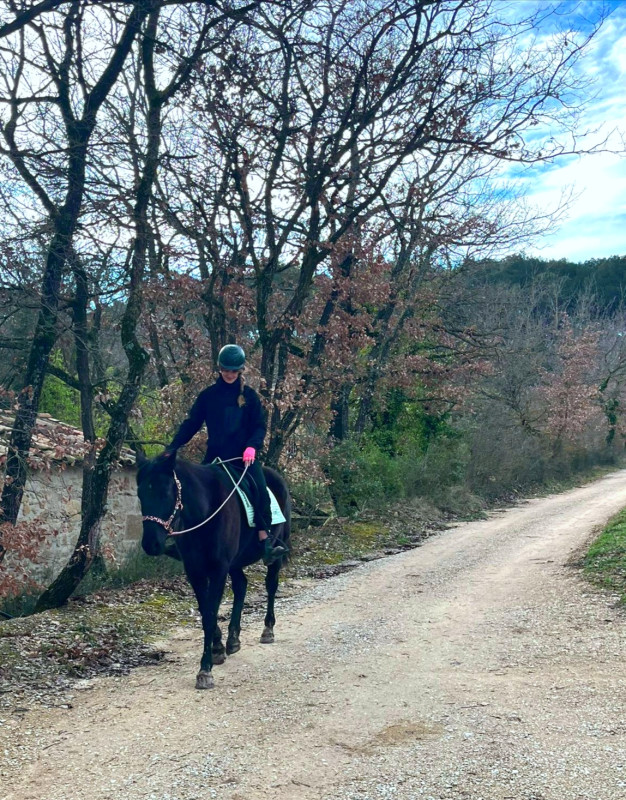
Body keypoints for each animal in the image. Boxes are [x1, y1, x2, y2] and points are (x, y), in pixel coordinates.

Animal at [136, 450, 291, 689]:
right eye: (140, 494)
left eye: (165, 492)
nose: (151, 544)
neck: (205, 509)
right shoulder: (195, 571)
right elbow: (206, 610)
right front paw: (217, 647)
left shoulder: (218, 569)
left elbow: (210, 614)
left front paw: (205, 669)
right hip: (235, 562)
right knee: (241, 586)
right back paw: (233, 639)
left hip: (273, 553)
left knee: (271, 585)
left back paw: (268, 629)